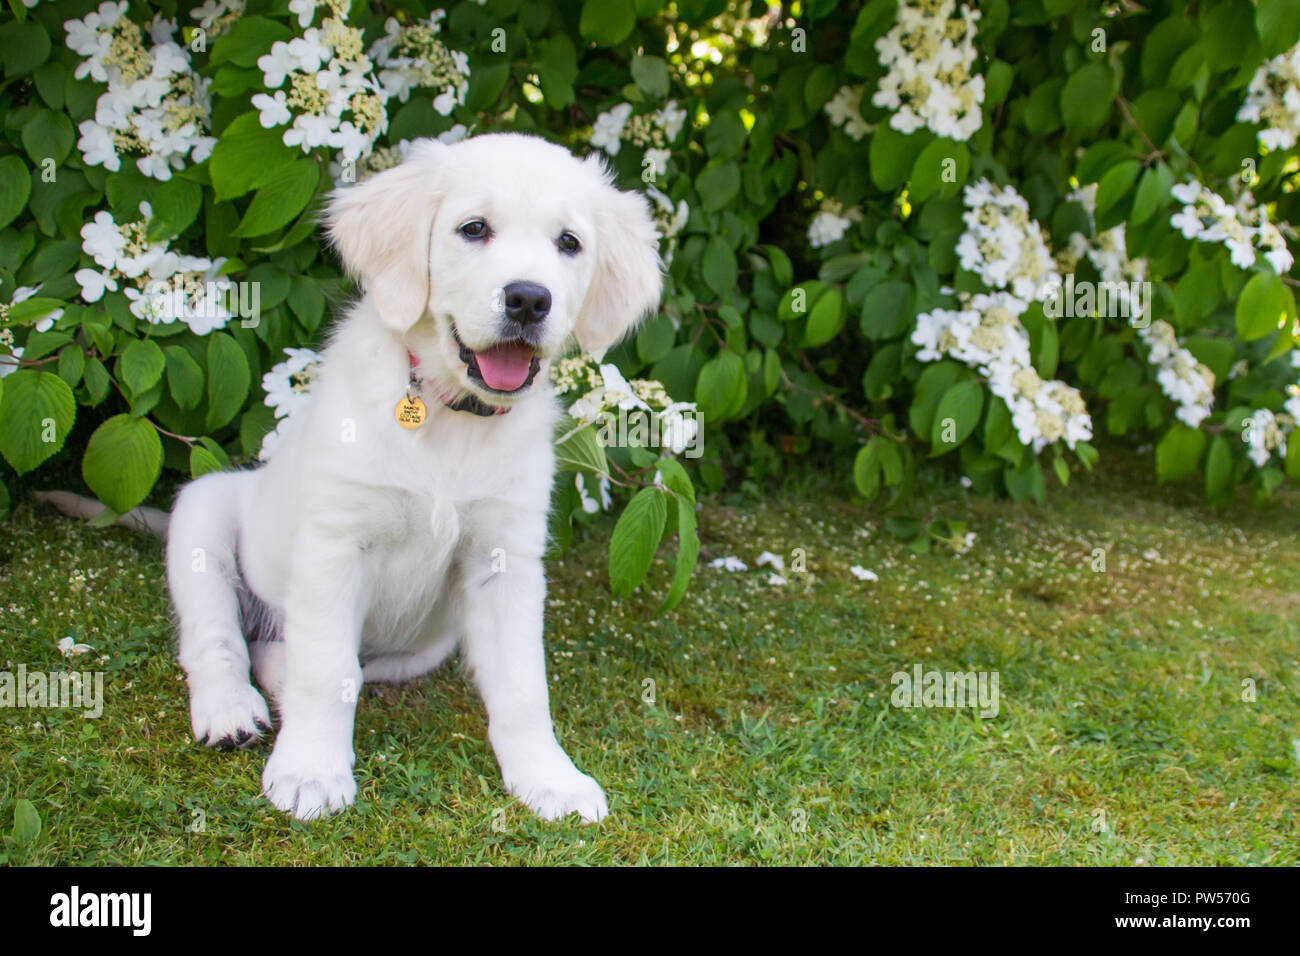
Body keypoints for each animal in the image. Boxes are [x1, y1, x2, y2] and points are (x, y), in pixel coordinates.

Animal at [166, 132, 660, 822]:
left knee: (293, 657)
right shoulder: (335, 544)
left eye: (569, 242)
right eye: (473, 228)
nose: (529, 299)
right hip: (202, 513)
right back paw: (230, 710)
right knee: (218, 639)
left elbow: (522, 687)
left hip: (425, 641)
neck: (452, 418)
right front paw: (311, 770)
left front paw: (548, 778)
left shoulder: (503, 559)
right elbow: (324, 671)